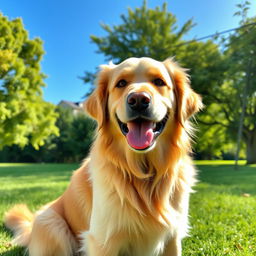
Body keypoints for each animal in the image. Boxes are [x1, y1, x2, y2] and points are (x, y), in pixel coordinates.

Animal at [4, 57, 202, 255]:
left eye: (159, 82)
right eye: (121, 83)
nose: (138, 100)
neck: (142, 173)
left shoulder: (173, 237)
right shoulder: (102, 240)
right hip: (52, 226)